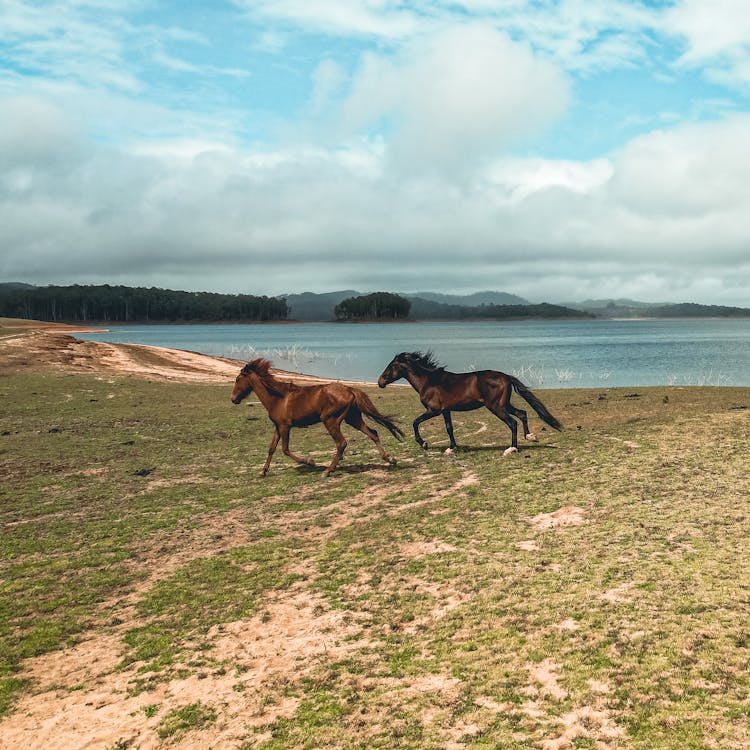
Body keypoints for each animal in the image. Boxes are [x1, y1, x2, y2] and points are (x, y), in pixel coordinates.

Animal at [232, 360, 406, 478]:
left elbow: (285, 449)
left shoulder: (285, 426)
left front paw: (310, 462)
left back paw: (328, 470)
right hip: (352, 419)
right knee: (373, 433)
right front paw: (263, 471)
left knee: (341, 443)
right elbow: (272, 448)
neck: (277, 398)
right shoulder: (278, 426)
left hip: (330, 420)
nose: (233, 399)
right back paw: (390, 459)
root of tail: (350, 390)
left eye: (237, 379)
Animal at [378, 354, 560, 456]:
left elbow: (415, 422)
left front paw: (424, 443)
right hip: (504, 405)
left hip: (495, 407)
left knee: (512, 422)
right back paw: (530, 437)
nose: (380, 382)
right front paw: (451, 448)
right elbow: (449, 428)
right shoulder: (445, 411)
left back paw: (511, 449)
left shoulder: (433, 410)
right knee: (522, 413)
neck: (429, 382)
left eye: (391, 366)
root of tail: (506, 376)